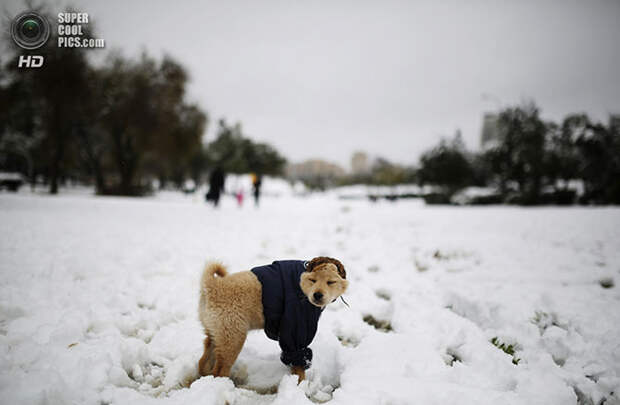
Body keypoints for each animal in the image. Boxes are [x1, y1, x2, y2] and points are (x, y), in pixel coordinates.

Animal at [197, 258, 348, 380]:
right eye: (313, 280)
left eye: (331, 282)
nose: (317, 295)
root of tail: (211, 286)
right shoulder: (296, 325)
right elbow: (298, 361)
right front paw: (299, 384)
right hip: (233, 336)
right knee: (220, 370)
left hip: (216, 332)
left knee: (203, 360)